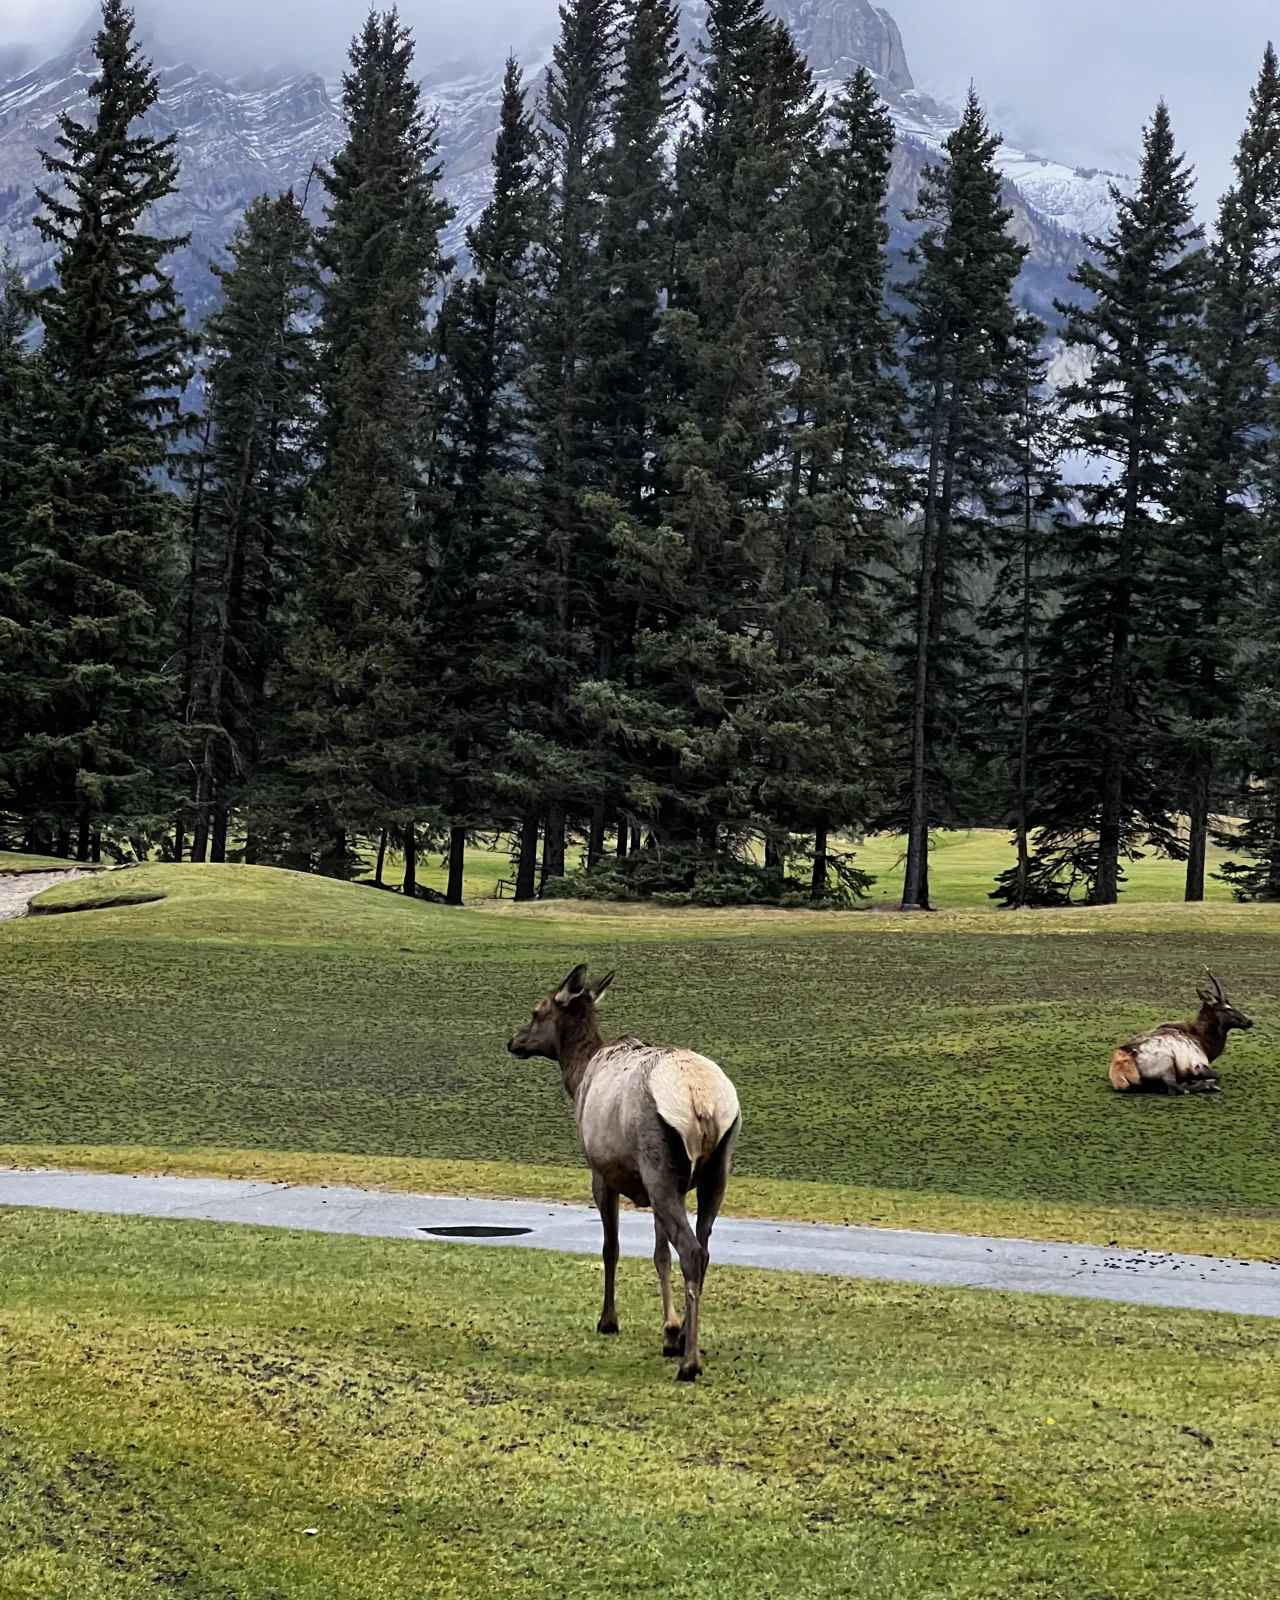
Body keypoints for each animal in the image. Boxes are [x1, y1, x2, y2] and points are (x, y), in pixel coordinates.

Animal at [507, 964, 741, 1383]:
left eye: (536, 1011)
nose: (512, 1041)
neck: (579, 1074)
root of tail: (701, 1101)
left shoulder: (601, 1173)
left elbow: (611, 1247)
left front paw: (608, 1320)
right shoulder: (664, 1185)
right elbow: (659, 1254)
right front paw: (670, 1331)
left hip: (658, 1164)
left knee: (691, 1251)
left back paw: (690, 1364)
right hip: (712, 1169)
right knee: (703, 1249)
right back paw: (688, 1343)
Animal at [1109, 971, 1253, 1095]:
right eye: (1228, 1008)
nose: (1249, 1021)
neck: (1203, 1041)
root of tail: (1119, 1073)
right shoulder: (1198, 1065)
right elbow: (1217, 1076)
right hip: (1167, 1065)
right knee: (1174, 1088)